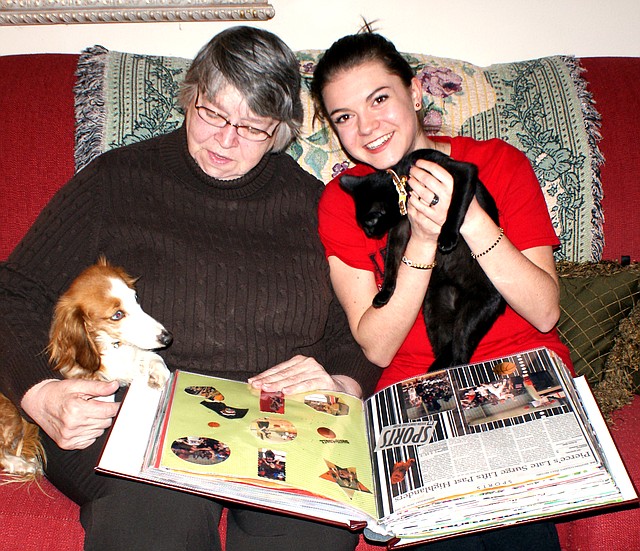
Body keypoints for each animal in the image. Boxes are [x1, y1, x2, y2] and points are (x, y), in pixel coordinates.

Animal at [0, 256, 172, 480]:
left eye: (135, 298)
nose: (167, 337)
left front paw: (157, 374)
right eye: (117, 315)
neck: (111, 345)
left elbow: (153, 357)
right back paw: (21, 464)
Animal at [338, 148, 508, 370]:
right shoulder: (400, 226)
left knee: (460, 349)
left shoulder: (463, 172)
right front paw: (385, 293)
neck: (405, 177)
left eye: (368, 226)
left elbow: (455, 206)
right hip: (433, 311)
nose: (368, 234)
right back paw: (434, 370)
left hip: (473, 312)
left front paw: (447, 237)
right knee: (446, 346)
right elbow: (392, 260)